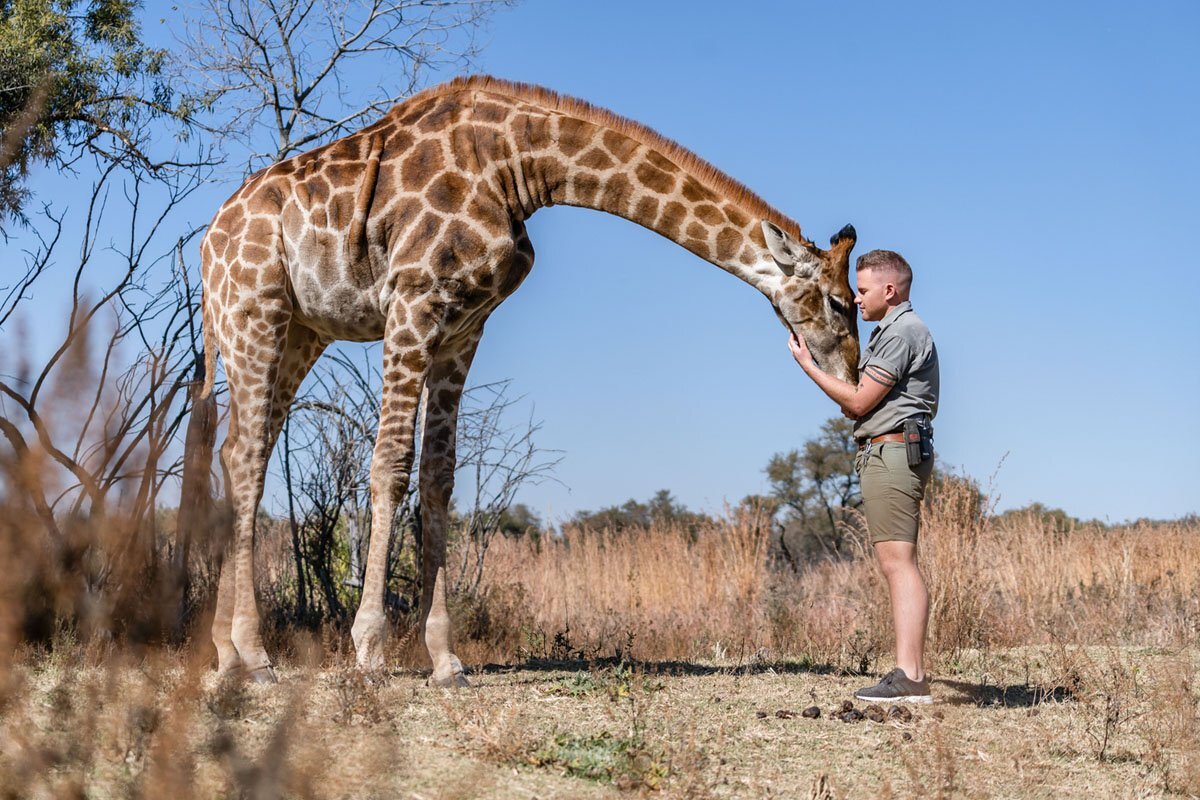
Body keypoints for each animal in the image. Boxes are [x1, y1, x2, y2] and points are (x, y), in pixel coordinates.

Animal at [201, 76, 864, 690]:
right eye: (837, 301)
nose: (851, 377)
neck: (519, 166)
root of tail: (208, 244)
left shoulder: (464, 326)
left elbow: (439, 477)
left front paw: (446, 660)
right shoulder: (412, 305)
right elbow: (390, 463)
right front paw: (369, 651)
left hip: (301, 330)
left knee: (236, 453)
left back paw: (226, 653)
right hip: (256, 312)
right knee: (251, 454)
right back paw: (255, 656)